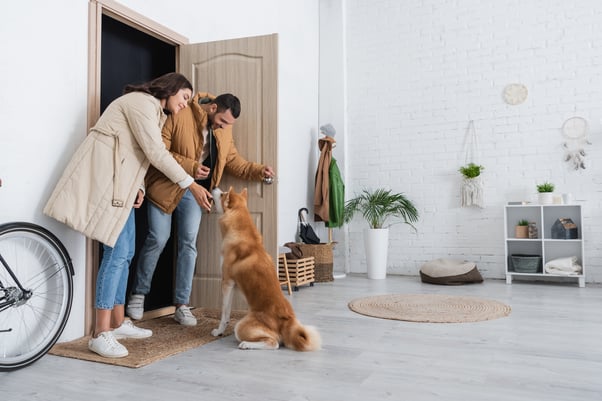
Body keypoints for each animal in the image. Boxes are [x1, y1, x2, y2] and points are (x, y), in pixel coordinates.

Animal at [210, 188, 322, 350]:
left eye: (222, 194)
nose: (214, 188)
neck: (240, 233)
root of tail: (286, 321)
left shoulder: (227, 282)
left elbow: (224, 313)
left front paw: (219, 331)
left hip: (241, 326)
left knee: (274, 343)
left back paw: (246, 344)